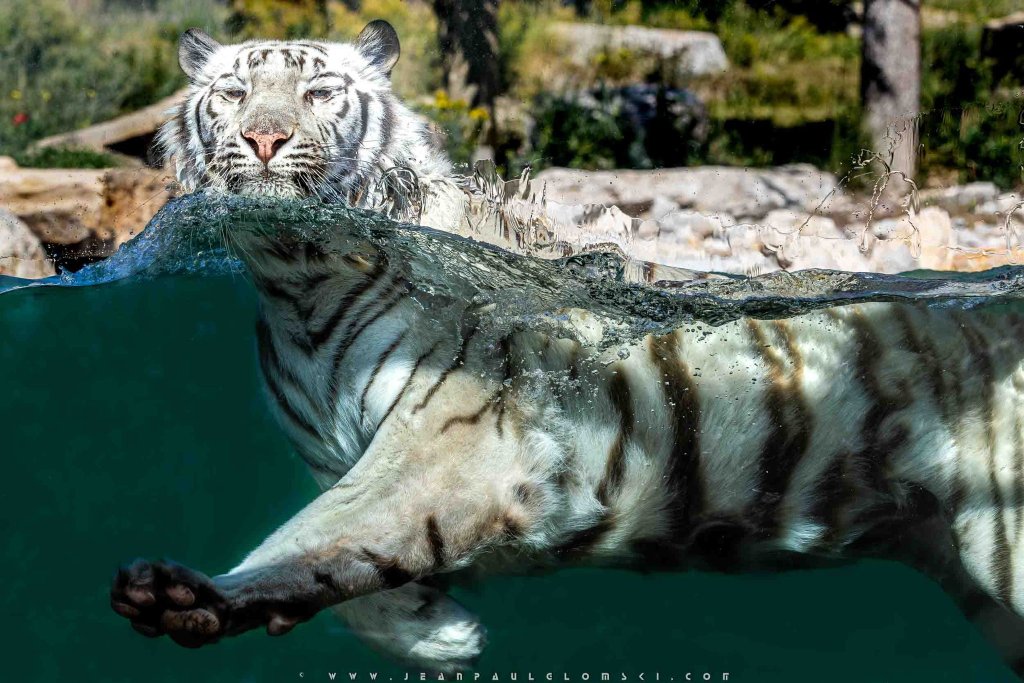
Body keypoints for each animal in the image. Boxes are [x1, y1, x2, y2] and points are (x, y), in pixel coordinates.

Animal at [109, 20, 1024, 678]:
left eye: (319, 89)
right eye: (233, 92)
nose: (263, 138)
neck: (295, 281)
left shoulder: (454, 443)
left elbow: (321, 531)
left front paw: (190, 595)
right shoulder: (345, 456)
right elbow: (346, 569)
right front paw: (435, 634)